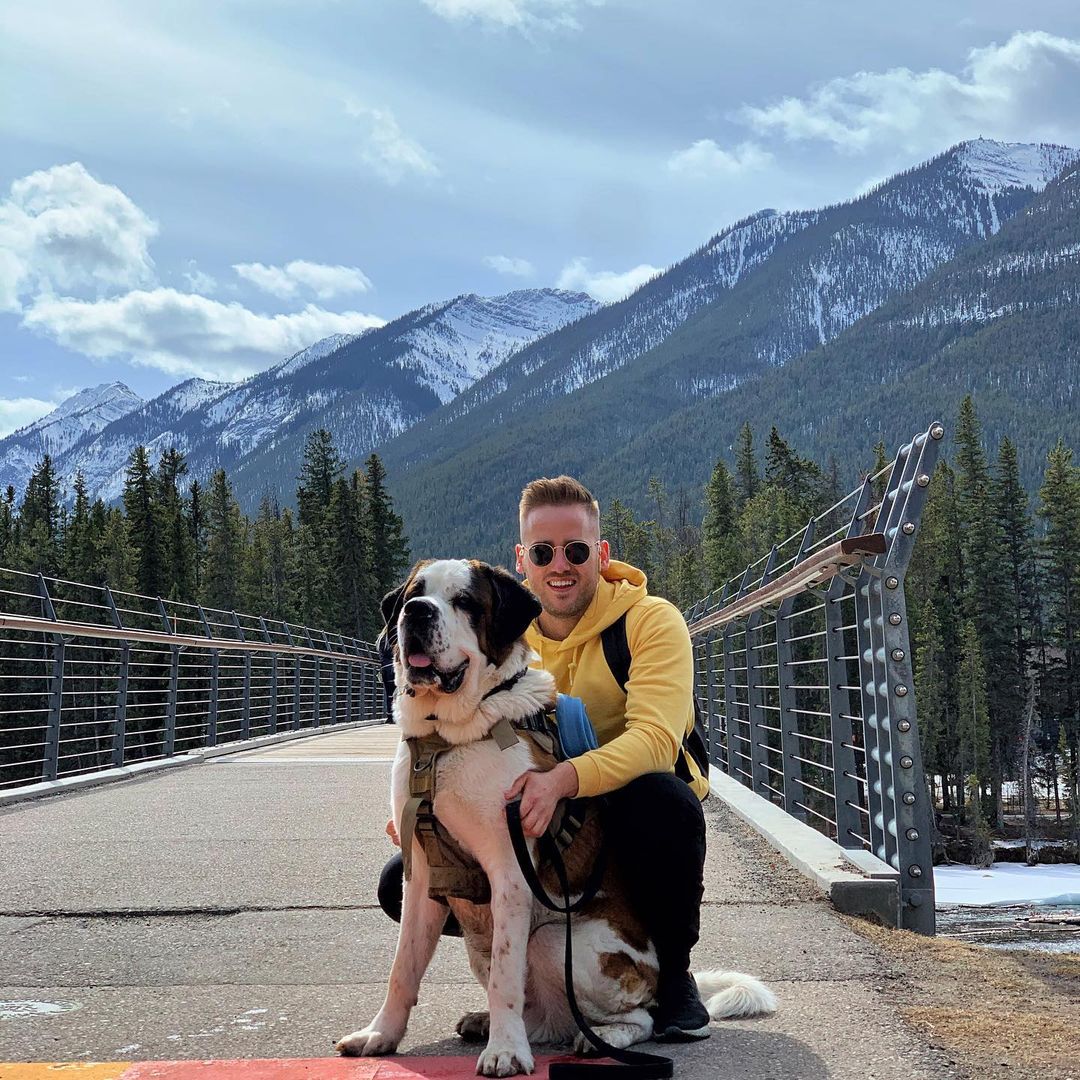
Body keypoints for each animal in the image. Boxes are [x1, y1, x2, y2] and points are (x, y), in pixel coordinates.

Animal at [336, 561, 777, 1075]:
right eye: (413, 595)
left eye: (465, 602)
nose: (417, 613)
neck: (449, 739)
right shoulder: (422, 874)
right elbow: (402, 967)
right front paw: (380, 1034)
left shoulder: (509, 871)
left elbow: (506, 972)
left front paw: (506, 1051)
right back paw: (489, 1021)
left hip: (556, 945)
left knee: (639, 1015)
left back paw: (601, 1036)